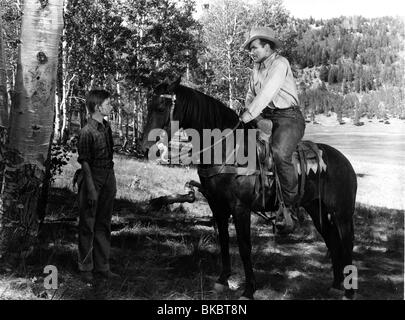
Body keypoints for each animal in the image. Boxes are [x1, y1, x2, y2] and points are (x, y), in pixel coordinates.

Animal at [140, 79, 356, 298]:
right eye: (148, 106)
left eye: (161, 107)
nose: (146, 148)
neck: (227, 150)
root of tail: (344, 161)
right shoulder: (217, 206)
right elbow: (224, 241)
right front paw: (222, 280)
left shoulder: (240, 208)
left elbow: (245, 247)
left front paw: (249, 289)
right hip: (316, 209)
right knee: (333, 241)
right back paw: (336, 285)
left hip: (342, 213)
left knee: (347, 244)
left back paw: (349, 292)